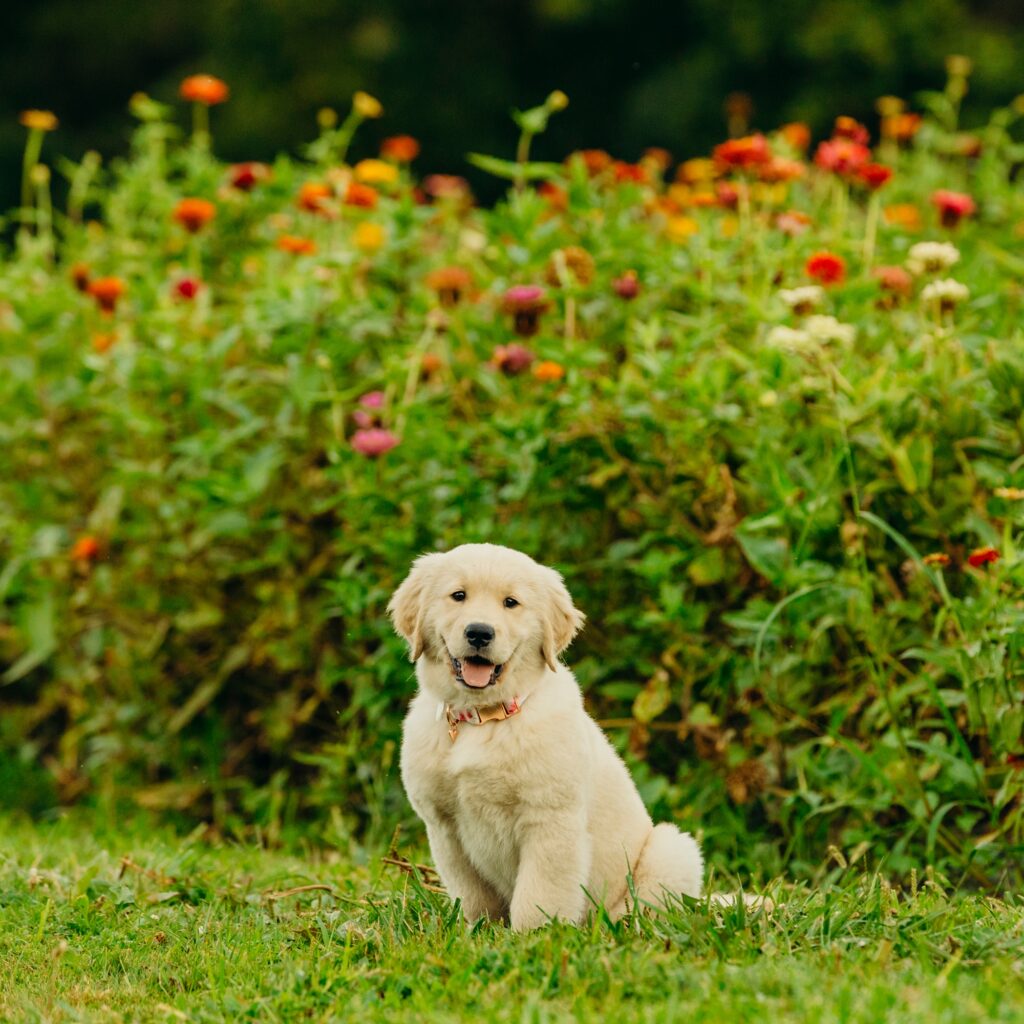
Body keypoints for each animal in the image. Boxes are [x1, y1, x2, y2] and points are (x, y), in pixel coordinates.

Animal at [387, 544, 700, 929]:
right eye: (458, 595)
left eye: (511, 602)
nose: (479, 633)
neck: (484, 719)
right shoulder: (444, 826)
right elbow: (471, 893)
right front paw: (476, 931)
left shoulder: (550, 820)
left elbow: (541, 891)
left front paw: (535, 936)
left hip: (671, 849)